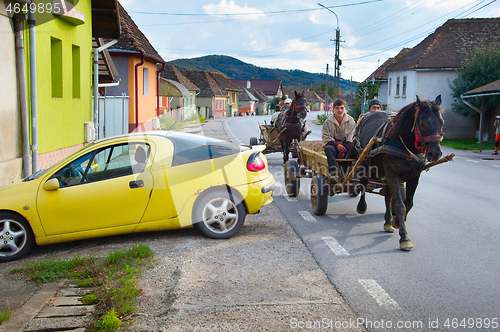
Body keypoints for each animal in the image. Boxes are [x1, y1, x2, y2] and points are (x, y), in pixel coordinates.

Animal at [356, 94, 446, 250]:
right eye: (422, 123)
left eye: (441, 122)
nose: (435, 153)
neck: (407, 145)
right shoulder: (392, 174)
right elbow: (399, 204)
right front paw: (404, 238)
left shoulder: (414, 177)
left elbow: (408, 203)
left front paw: (397, 221)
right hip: (366, 161)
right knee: (364, 182)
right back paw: (362, 206)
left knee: (387, 195)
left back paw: (387, 222)